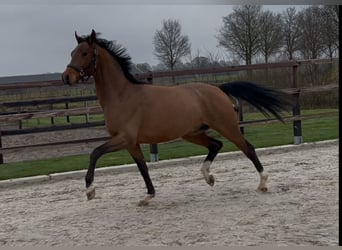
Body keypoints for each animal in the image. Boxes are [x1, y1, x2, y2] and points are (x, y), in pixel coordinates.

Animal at [61, 29, 288, 205]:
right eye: (71, 52)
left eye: (84, 53)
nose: (66, 77)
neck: (122, 95)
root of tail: (218, 89)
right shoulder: (131, 143)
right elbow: (143, 167)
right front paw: (148, 196)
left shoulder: (124, 138)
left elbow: (95, 153)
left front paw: (90, 190)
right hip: (192, 133)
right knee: (216, 145)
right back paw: (208, 177)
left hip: (227, 126)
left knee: (247, 148)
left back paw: (262, 183)